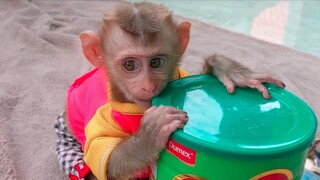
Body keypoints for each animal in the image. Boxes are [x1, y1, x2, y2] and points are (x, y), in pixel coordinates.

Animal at [55, 1, 284, 180]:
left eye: (156, 62)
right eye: (129, 65)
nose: (148, 85)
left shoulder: (180, 75)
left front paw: (231, 71)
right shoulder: (100, 119)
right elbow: (110, 164)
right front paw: (149, 134)